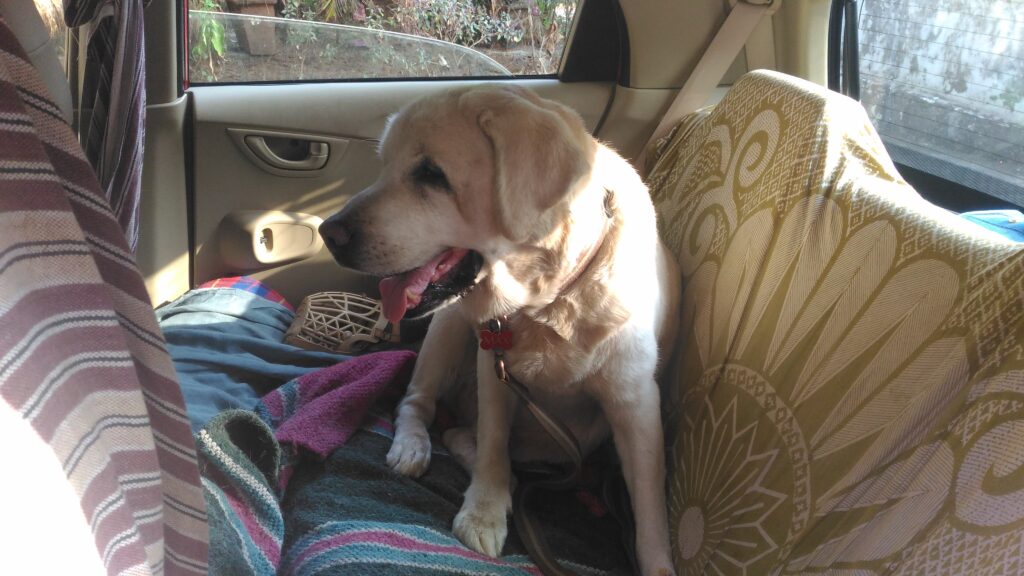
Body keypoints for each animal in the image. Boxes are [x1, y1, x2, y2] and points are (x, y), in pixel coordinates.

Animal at [319, 85, 679, 573]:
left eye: (431, 174)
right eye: (384, 165)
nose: (328, 233)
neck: (547, 303)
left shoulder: (635, 403)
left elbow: (650, 506)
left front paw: (658, 563)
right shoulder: (495, 365)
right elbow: (492, 444)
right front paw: (485, 511)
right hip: (448, 328)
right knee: (417, 403)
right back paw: (417, 446)